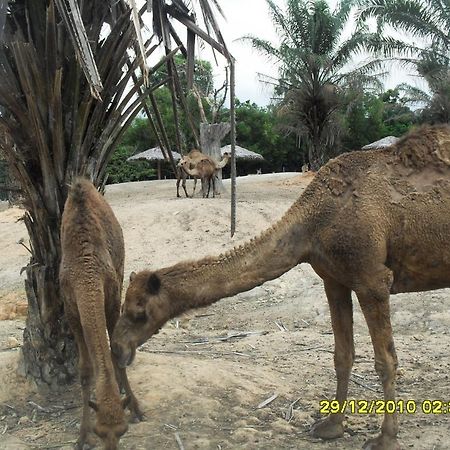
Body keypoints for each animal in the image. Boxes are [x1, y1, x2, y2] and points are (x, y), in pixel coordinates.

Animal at [59, 179, 142, 450]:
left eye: (123, 431)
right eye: (99, 431)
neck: (86, 271)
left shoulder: (113, 295)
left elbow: (115, 350)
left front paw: (135, 406)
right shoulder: (71, 308)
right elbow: (85, 370)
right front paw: (81, 436)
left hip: (122, 267)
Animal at [113, 124, 450, 450]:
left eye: (139, 312)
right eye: (124, 307)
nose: (118, 347)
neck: (315, 221)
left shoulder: (372, 279)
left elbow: (386, 361)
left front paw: (386, 438)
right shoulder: (334, 279)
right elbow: (342, 355)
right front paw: (330, 427)